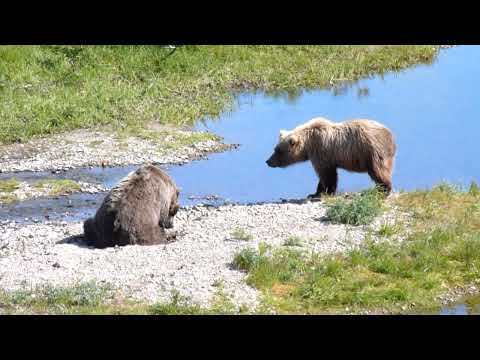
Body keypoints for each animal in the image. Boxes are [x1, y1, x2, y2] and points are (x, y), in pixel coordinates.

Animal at [264, 117, 396, 197]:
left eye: (278, 151)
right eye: (275, 149)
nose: (268, 161)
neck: (308, 144)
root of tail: (390, 134)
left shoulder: (322, 152)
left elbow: (327, 174)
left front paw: (325, 192)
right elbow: (324, 176)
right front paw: (315, 193)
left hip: (372, 151)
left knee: (378, 171)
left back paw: (384, 189)